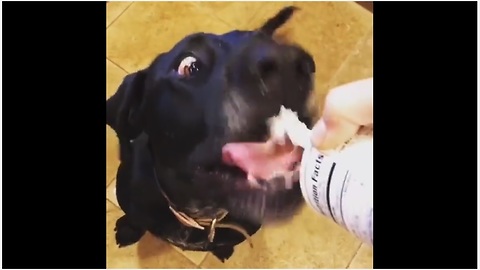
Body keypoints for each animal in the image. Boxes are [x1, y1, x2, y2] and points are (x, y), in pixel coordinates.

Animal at [108, 6, 316, 262]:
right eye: (189, 65)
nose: (293, 64)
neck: (197, 213)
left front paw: (222, 249)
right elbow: (135, 220)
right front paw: (128, 229)